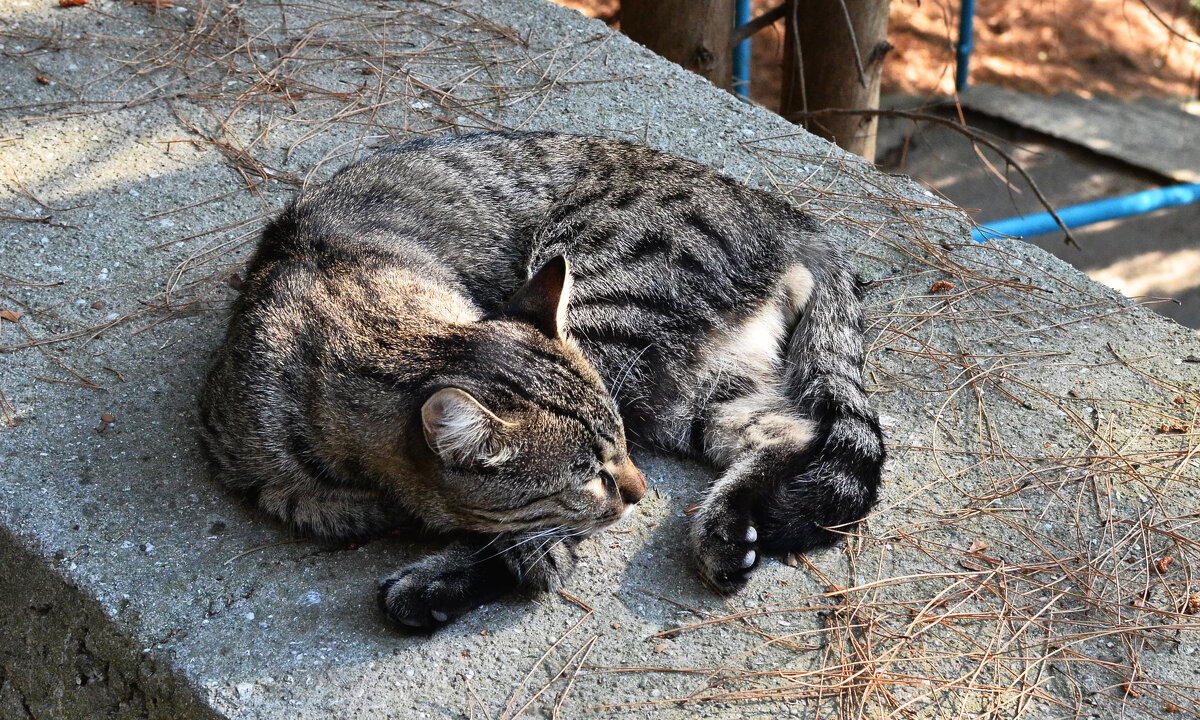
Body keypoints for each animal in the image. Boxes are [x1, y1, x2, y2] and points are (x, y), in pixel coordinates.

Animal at [199, 132, 883, 633]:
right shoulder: (270, 478)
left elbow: (523, 532)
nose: (638, 489)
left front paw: (504, 558)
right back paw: (724, 530)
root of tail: (787, 214)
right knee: (789, 430)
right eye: (587, 473)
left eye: (617, 454)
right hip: (691, 391)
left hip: (610, 312)